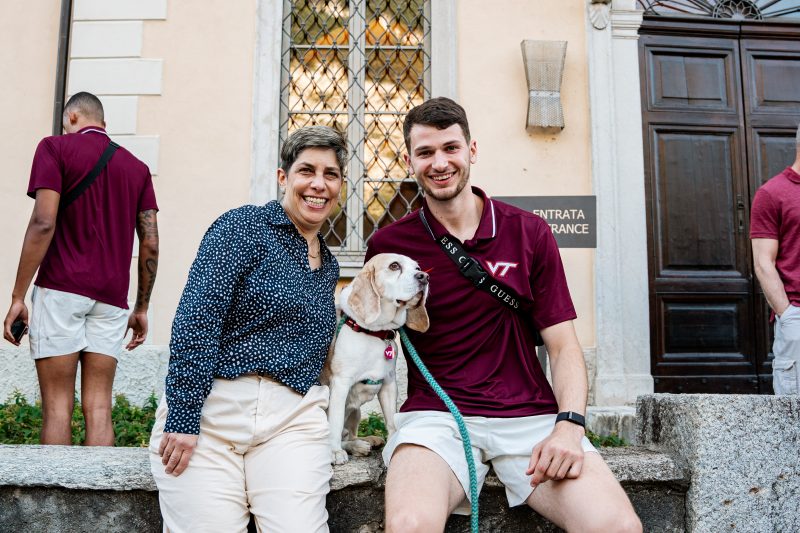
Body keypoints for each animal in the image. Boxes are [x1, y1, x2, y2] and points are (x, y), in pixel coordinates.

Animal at [322, 251, 428, 464]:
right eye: (394, 266)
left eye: (417, 268)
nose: (425, 277)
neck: (374, 333)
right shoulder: (340, 384)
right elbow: (335, 423)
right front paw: (335, 452)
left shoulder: (389, 384)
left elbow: (392, 420)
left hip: (355, 412)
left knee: (349, 434)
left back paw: (364, 442)